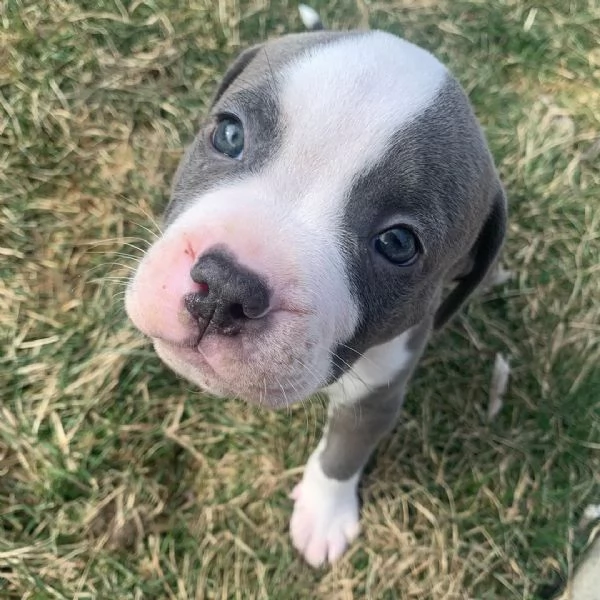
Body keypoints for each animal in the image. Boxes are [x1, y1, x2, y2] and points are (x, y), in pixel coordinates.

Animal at [125, 5, 506, 568]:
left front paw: (324, 516)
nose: (225, 289)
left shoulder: (377, 394)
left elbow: (344, 454)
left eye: (398, 243)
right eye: (230, 136)